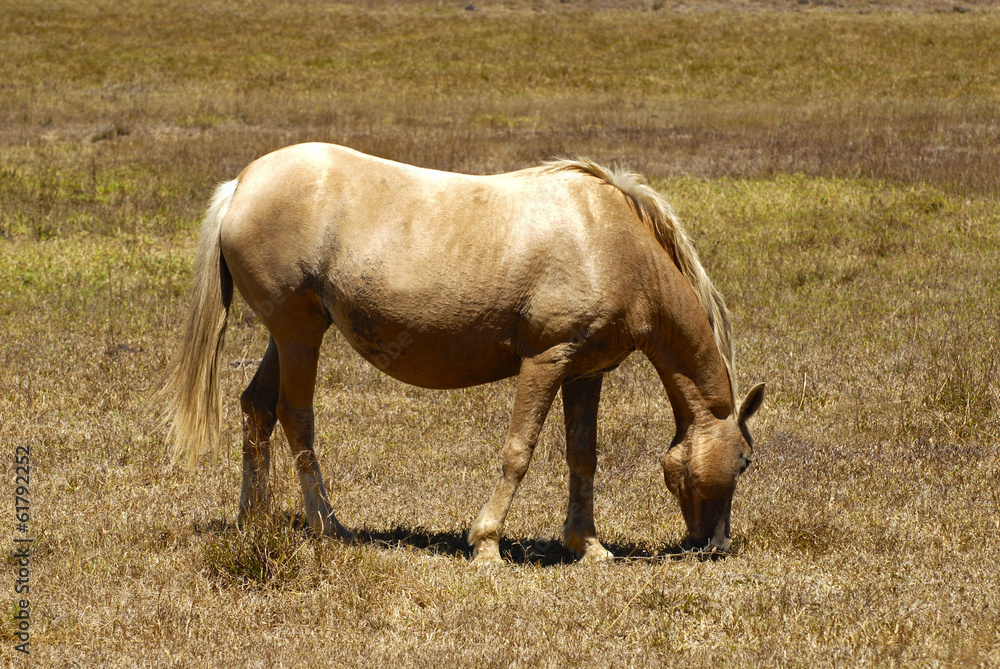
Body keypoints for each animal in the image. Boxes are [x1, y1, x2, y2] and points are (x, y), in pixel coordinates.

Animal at [157, 143, 764, 563]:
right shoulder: (546, 360)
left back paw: (254, 520)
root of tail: (242, 184)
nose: (716, 546)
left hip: (287, 338)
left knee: (255, 407)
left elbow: (582, 457)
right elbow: (519, 451)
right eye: (745, 461)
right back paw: (328, 526)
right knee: (294, 416)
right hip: (299, 335)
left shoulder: (585, 373)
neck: (609, 241)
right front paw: (487, 545)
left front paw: (587, 545)